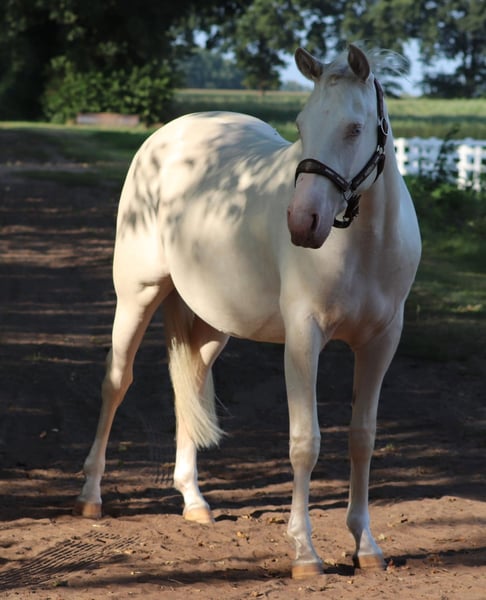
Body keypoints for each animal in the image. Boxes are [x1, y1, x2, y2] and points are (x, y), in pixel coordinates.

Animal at [74, 44, 421, 579]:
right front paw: (304, 551)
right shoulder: (304, 337)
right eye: (300, 125)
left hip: (214, 324)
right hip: (137, 295)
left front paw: (365, 545)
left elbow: (362, 438)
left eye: (355, 128)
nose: (303, 222)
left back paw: (194, 500)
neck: (363, 244)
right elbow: (305, 441)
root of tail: (169, 133)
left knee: (190, 383)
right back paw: (91, 496)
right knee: (117, 381)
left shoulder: (382, 341)